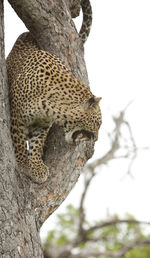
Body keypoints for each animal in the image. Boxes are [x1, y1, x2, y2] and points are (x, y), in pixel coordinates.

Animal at [6, 2, 101, 183]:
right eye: (97, 124)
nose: (97, 139)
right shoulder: (16, 115)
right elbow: (19, 141)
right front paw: (22, 164)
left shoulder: (43, 123)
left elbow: (36, 144)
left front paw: (37, 167)